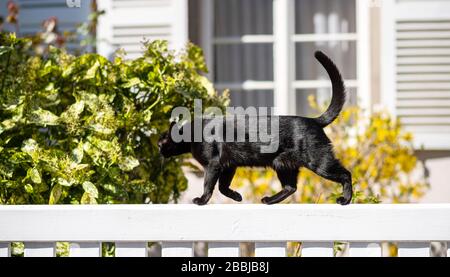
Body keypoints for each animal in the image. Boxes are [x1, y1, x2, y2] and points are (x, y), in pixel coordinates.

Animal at [158, 50, 352, 205]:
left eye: (160, 143)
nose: (159, 151)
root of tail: (314, 120)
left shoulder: (213, 165)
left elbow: (209, 185)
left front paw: (202, 200)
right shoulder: (229, 165)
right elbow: (222, 187)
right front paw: (236, 196)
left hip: (319, 162)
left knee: (346, 174)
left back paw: (345, 199)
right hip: (282, 164)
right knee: (291, 187)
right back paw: (269, 200)